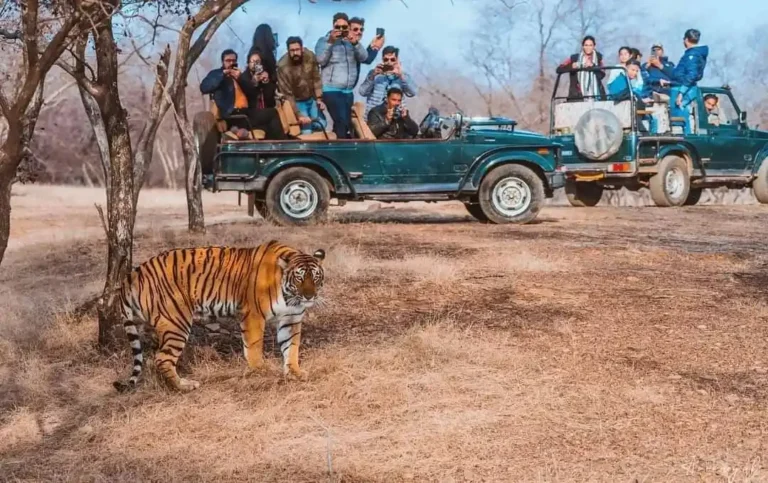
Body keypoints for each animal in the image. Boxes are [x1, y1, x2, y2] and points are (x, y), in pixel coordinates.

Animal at [113, 240, 326, 393]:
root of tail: (133, 274)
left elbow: (292, 348)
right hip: (176, 322)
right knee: (161, 358)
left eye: (315, 277)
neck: (291, 297)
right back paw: (183, 386)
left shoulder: (291, 320)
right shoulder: (253, 315)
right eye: (299, 278)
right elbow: (254, 347)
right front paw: (261, 370)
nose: (309, 296)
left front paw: (295, 372)